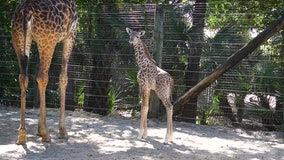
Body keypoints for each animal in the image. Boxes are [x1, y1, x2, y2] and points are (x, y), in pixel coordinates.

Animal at [11, 0, 77, 144]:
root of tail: (27, 10)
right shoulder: (70, 35)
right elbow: (63, 78)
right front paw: (62, 131)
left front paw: (38, 130)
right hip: (48, 40)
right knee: (42, 77)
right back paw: (45, 133)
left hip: (20, 38)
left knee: (23, 77)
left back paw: (22, 134)